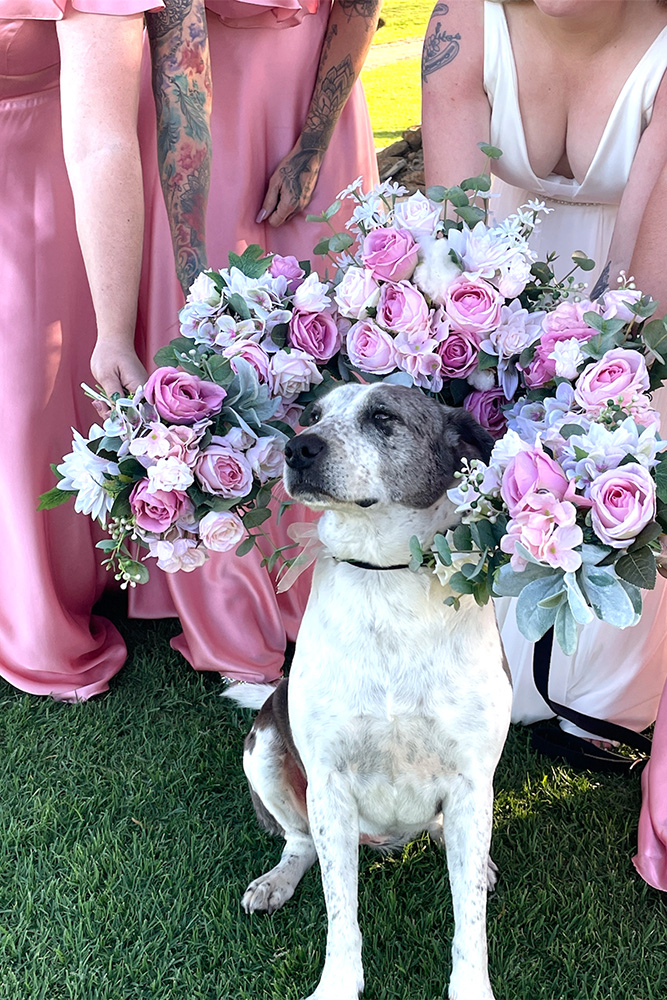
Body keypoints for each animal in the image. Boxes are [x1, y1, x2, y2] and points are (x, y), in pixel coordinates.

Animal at [228, 384, 512, 1000]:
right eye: (312, 415)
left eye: (383, 417)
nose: (298, 448)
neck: (386, 575)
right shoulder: (330, 784)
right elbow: (341, 911)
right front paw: (336, 985)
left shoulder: (471, 779)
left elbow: (469, 919)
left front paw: (471, 986)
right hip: (264, 749)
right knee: (299, 842)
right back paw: (276, 881)